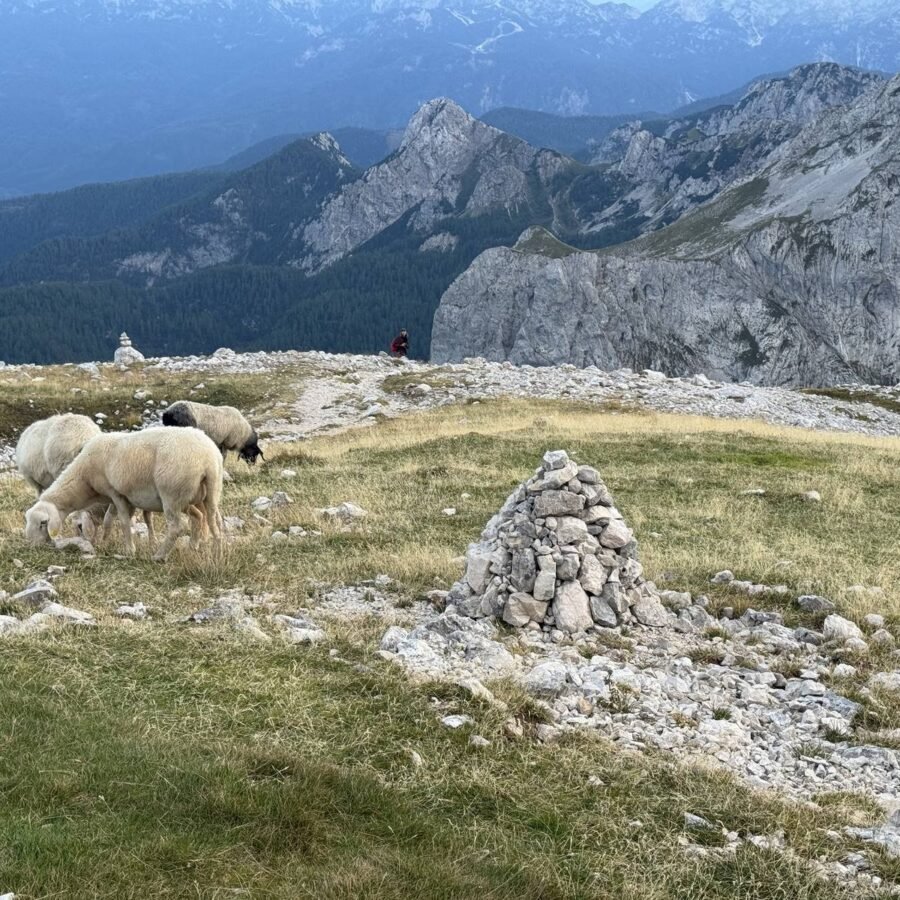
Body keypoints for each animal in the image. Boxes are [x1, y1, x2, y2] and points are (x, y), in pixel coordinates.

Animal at [24, 427, 223, 561]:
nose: (33, 547)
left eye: (43, 523)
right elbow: (108, 520)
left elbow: (124, 522)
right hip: (204, 494)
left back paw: (159, 556)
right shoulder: (119, 497)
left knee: (177, 527)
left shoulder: (117, 494)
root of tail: (208, 459)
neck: (85, 479)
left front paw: (129, 550)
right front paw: (104, 542)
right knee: (207, 519)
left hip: (172, 495)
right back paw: (209, 550)